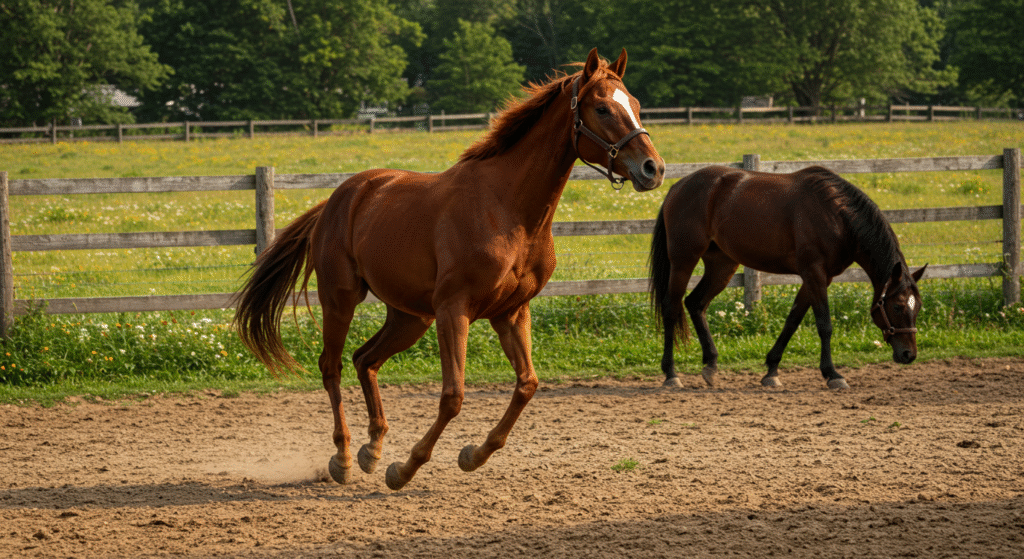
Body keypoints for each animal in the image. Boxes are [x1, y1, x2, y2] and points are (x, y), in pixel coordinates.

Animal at [232, 48, 665, 490]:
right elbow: (453, 396)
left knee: (364, 359)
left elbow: (527, 385)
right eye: (602, 107)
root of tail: (340, 198)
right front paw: (405, 469)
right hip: (341, 299)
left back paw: (373, 449)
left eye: (636, 105)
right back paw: (345, 457)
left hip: (409, 316)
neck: (509, 211)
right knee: (331, 366)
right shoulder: (454, 310)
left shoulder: (510, 312)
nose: (653, 168)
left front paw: (472, 455)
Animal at [648, 165, 925, 390]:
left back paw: (711, 365)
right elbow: (824, 325)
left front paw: (772, 370)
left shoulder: (820, 277)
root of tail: (678, 186)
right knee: (671, 308)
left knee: (696, 303)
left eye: (918, 307)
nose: (909, 354)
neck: (837, 214)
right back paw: (671, 374)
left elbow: (792, 321)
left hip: (722, 265)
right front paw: (832, 374)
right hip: (683, 260)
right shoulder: (814, 273)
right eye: (897, 306)